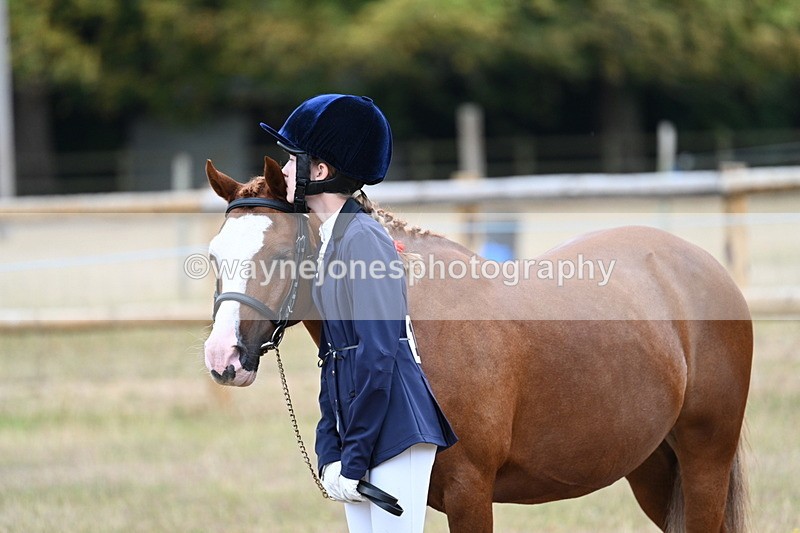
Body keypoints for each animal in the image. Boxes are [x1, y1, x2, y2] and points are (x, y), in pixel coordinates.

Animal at [202, 156, 752, 532]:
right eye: (213, 255)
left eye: (279, 253)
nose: (223, 357)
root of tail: (701, 263)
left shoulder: (470, 491)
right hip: (654, 468)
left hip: (705, 460)